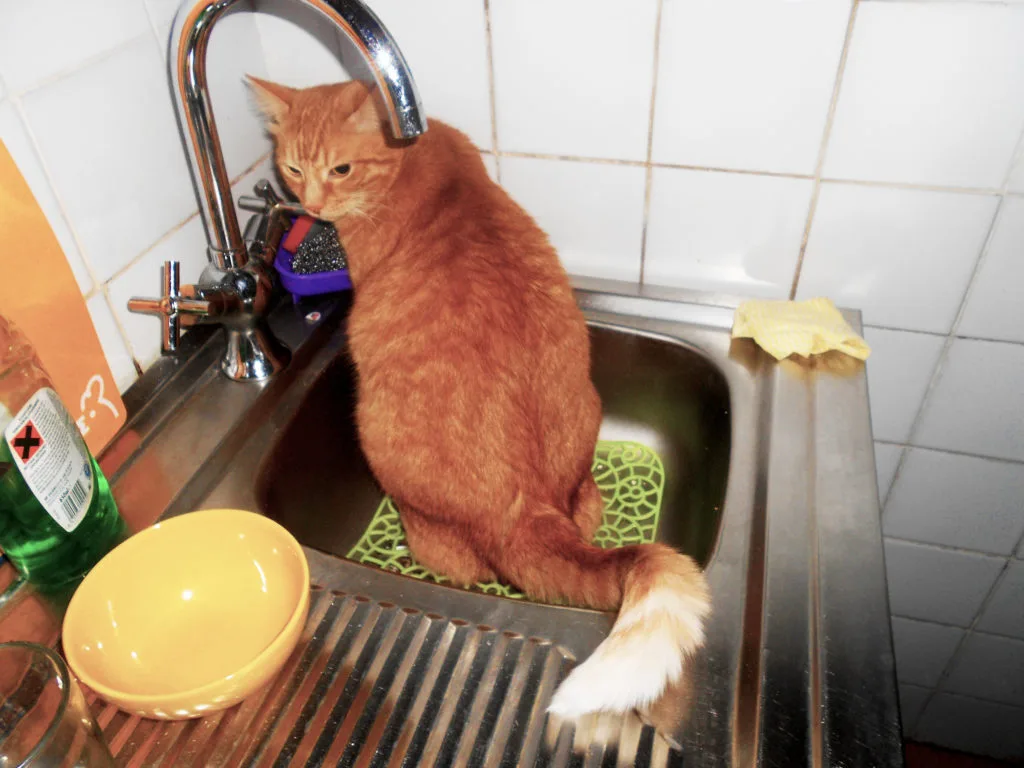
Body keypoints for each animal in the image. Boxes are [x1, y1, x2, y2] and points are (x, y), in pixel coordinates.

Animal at [247, 76, 712, 720]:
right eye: (293, 167)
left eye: (341, 169)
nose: (312, 206)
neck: (413, 160)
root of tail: (528, 510)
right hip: (586, 449)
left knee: (456, 563)